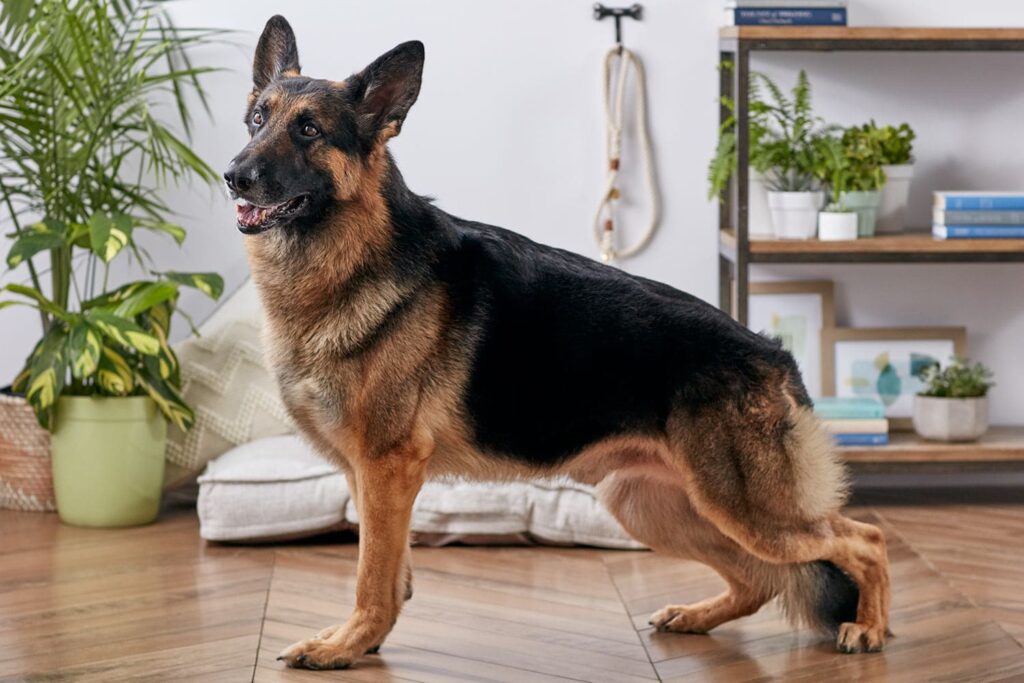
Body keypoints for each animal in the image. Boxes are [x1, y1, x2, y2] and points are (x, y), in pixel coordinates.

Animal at [224, 14, 888, 667]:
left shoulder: (387, 469)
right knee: (759, 579)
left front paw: (346, 644)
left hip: (746, 511)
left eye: (309, 130)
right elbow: (391, 573)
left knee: (864, 540)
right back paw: (696, 616)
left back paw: (870, 629)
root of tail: (773, 355)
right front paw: (365, 640)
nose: (234, 175)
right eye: (257, 118)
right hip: (656, 508)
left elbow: (372, 577)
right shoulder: (370, 479)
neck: (350, 257)